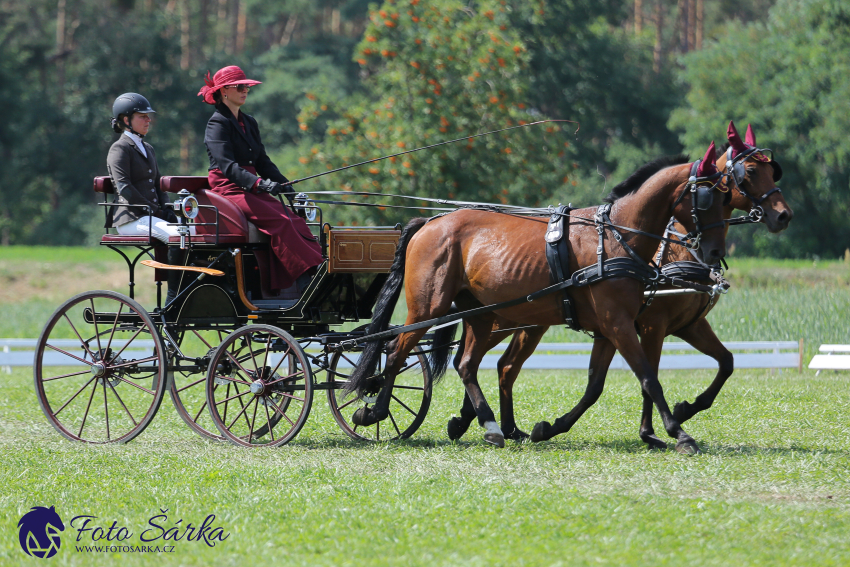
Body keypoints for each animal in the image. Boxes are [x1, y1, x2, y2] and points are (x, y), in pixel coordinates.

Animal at [344, 144, 728, 454]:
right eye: (707, 198)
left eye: (728, 195)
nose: (715, 252)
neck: (617, 237)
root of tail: (430, 223)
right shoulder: (628, 325)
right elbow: (649, 377)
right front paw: (678, 433)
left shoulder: (616, 327)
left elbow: (599, 384)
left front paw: (551, 428)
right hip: (430, 307)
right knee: (397, 350)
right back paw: (375, 411)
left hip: (486, 315)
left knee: (470, 364)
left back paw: (492, 426)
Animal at [448, 122, 792, 450]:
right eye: (750, 172)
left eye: (771, 170)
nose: (783, 216)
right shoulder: (649, 325)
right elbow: (649, 377)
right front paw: (660, 431)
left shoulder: (684, 325)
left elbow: (726, 363)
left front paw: (681, 412)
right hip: (503, 320)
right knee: (475, 361)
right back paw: (480, 421)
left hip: (527, 323)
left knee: (500, 365)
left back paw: (489, 424)